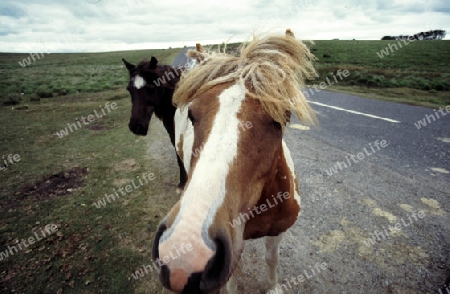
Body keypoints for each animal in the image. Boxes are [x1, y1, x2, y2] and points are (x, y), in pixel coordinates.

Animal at [151, 30, 316, 294]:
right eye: (192, 114)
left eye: (279, 119)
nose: (185, 255)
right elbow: (232, 276)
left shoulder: (278, 231)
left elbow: (272, 259)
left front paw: (273, 287)